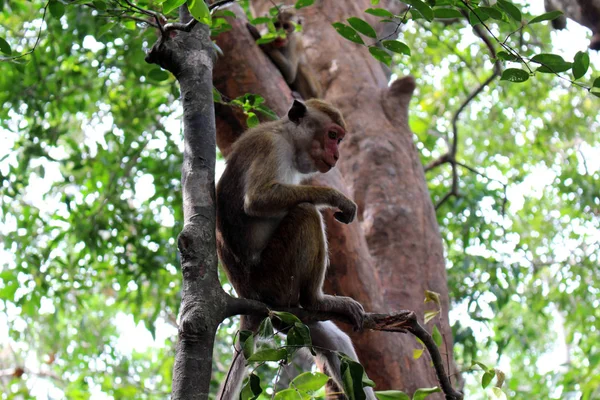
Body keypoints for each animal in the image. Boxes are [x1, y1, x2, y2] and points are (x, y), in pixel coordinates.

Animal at [216, 100, 376, 400]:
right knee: (305, 212)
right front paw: (337, 198)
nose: (336, 155)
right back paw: (317, 301)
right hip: (275, 280)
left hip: (289, 319)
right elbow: (258, 199)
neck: (288, 138)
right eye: (332, 135)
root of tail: (248, 296)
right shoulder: (272, 146)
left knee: (334, 342)